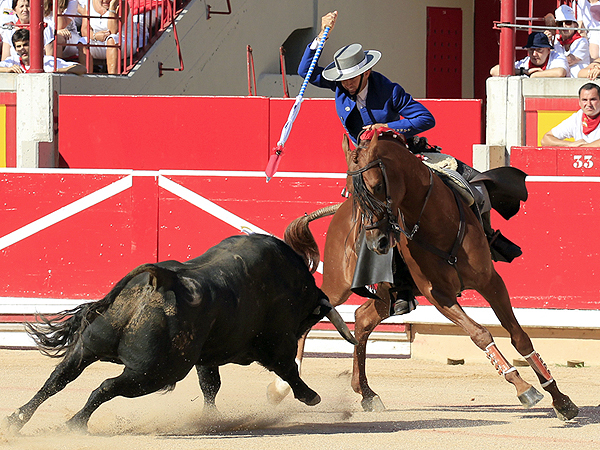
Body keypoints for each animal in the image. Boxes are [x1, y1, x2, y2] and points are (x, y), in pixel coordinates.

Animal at [2, 234, 356, 430]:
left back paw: (17, 419)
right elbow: (287, 369)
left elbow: (210, 385)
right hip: (154, 373)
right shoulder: (276, 342)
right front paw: (310, 396)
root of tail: (160, 279)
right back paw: (74, 423)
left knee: (58, 378)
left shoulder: (206, 356)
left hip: (91, 347)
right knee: (104, 387)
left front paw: (211, 419)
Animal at [270, 130, 580, 422]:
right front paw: (523, 388)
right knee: (313, 317)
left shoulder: (490, 282)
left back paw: (367, 393)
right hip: (339, 285)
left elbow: (519, 336)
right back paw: (283, 386)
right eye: (350, 190)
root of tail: (338, 216)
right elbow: (479, 333)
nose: (376, 243)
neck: (437, 221)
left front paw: (561, 400)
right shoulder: (439, 295)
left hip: (388, 296)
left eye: (377, 186)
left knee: (362, 319)